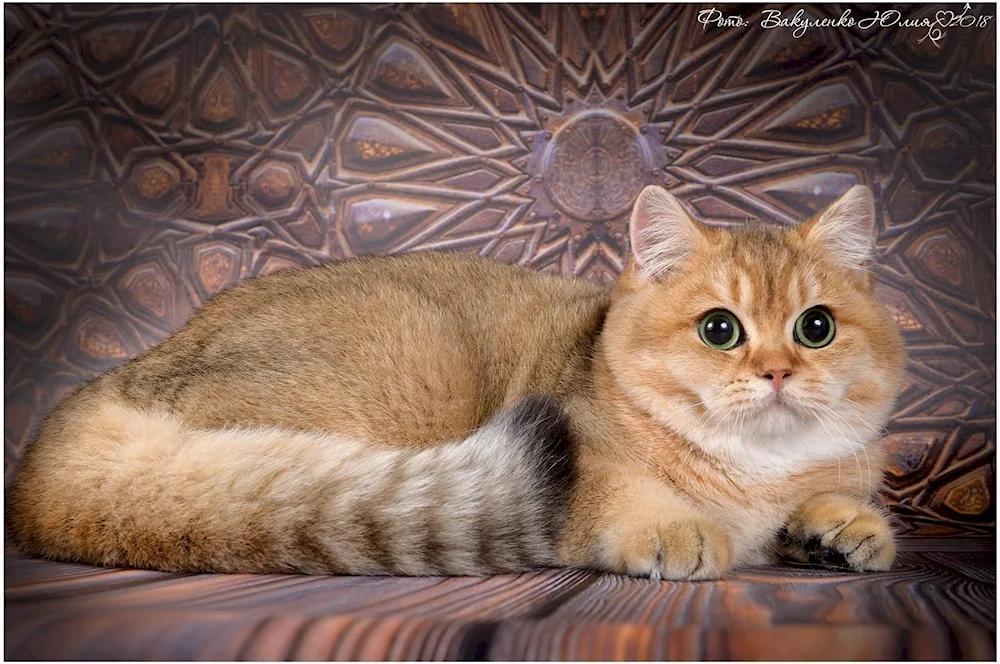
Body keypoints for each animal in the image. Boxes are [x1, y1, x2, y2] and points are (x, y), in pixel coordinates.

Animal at [5, 184, 908, 580]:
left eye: (816, 327)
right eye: (720, 329)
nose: (778, 371)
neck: (756, 473)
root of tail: (122, 377)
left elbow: (830, 497)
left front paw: (839, 525)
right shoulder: (581, 468)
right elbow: (627, 495)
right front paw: (678, 528)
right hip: (410, 370)